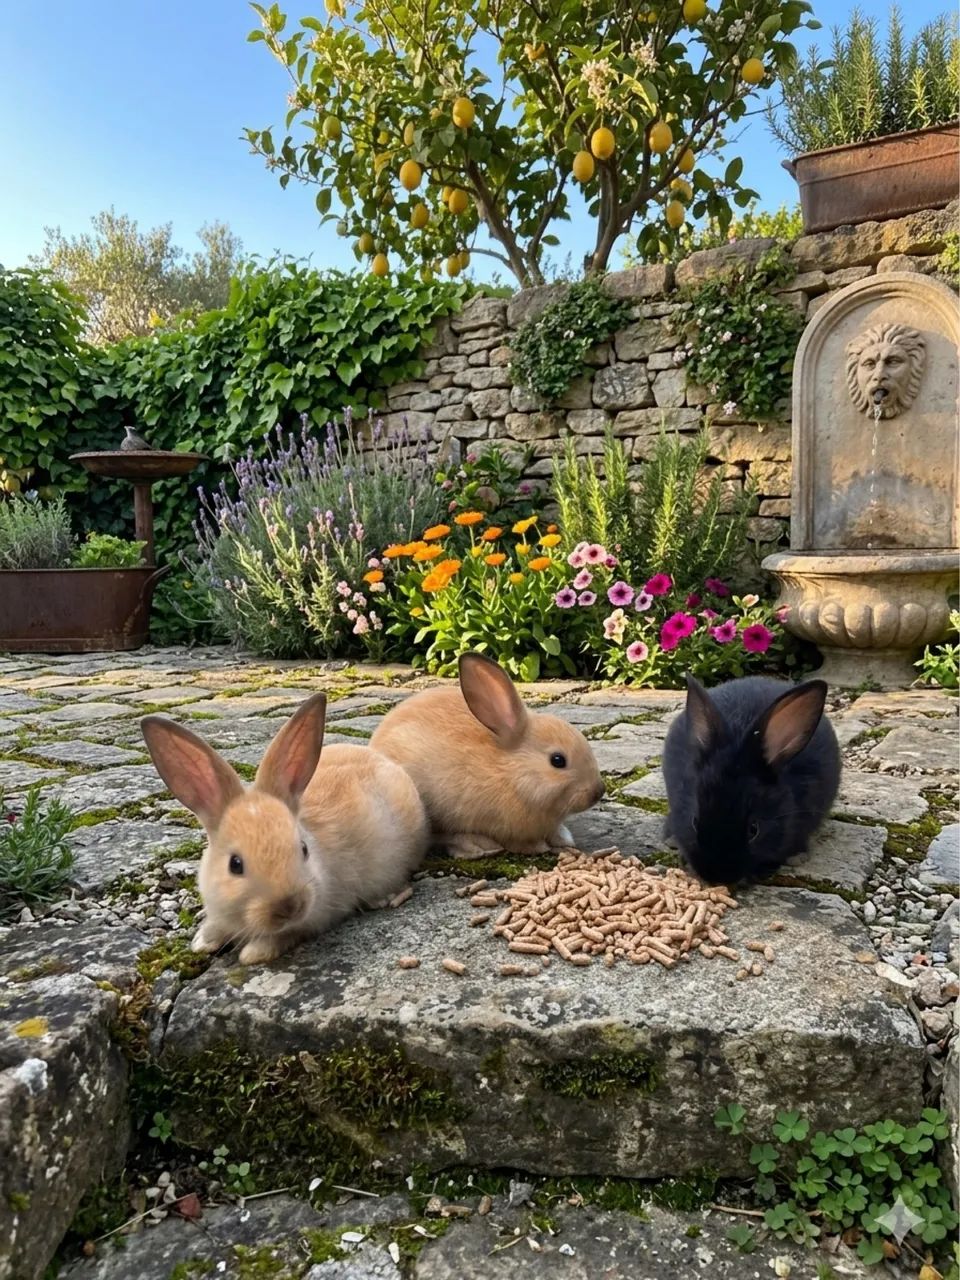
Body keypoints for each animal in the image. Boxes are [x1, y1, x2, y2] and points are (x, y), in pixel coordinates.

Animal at [140, 693, 429, 965]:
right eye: (235, 864)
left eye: (303, 850)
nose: (290, 907)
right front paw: (202, 942)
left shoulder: (319, 915)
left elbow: (283, 936)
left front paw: (252, 954)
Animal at [369, 651, 605, 859]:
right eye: (557, 760)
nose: (598, 792)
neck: (511, 773)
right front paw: (537, 847)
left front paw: (563, 838)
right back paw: (476, 846)